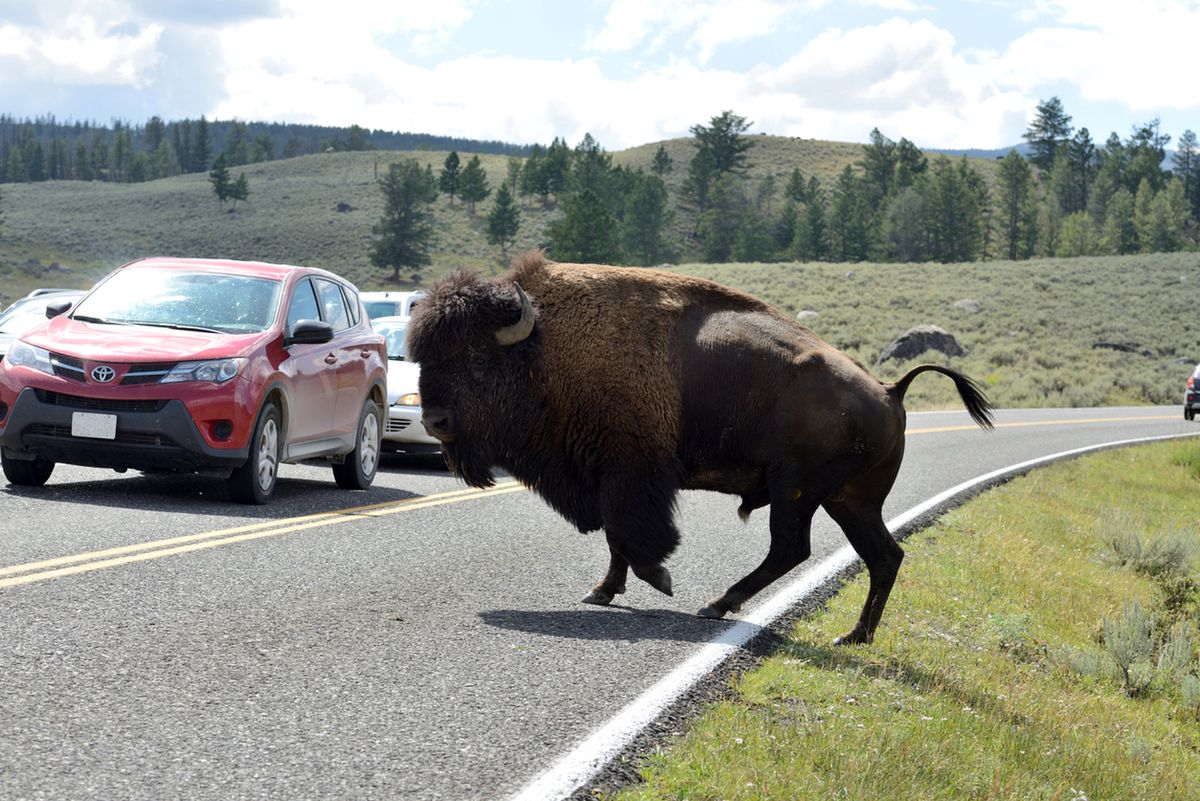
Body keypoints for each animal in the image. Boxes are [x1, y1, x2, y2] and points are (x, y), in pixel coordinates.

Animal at [408, 253, 988, 642]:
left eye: (478, 358)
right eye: (422, 355)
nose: (434, 420)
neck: (546, 348)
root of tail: (890, 391)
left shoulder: (632, 474)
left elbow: (630, 535)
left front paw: (659, 580)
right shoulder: (608, 477)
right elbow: (616, 540)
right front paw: (602, 591)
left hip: (797, 489)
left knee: (794, 548)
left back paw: (718, 605)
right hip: (851, 501)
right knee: (883, 555)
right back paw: (853, 636)